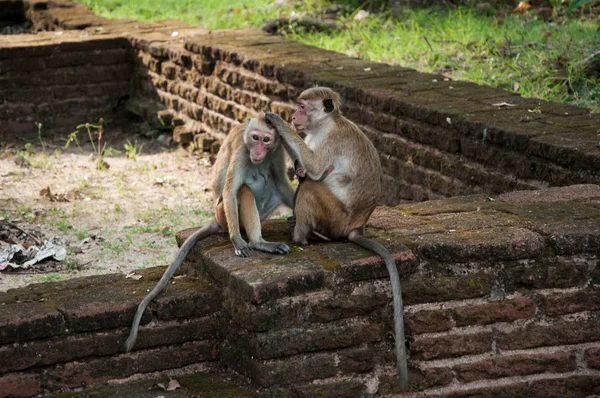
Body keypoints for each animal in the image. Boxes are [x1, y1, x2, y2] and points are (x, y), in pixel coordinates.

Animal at [125, 112, 296, 352]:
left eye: (266, 140)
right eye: (255, 138)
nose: (257, 152)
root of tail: (216, 218)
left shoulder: (277, 152)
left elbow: (281, 182)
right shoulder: (242, 151)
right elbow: (231, 190)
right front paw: (237, 242)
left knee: (272, 185)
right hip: (223, 215)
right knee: (242, 190)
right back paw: (257, 241)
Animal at [266, 88, 410, 388]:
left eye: (301, 106)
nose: (293, 116)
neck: (324, 125)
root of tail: (357, 225)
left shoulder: (331, 140)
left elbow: (314, 168)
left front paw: (274, 119)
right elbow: (305, 168)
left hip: (336, 216)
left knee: (312, 185)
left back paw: (302, 237)